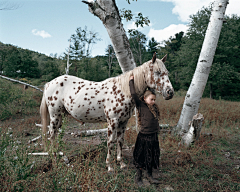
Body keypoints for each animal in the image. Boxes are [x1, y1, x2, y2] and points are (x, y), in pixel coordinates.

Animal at [40, 53, 173, 171]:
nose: (170, 92)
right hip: (55, 115)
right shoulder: (112, 122)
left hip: (61, 116)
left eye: (167, 72)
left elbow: (120, 141)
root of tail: (49, 83)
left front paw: (121, 163)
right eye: (157, 72)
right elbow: (110, 142)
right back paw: (54, 161)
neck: (122, 90)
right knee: (52, 135)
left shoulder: (123, 122)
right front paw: (109, 166)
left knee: (56, 135)